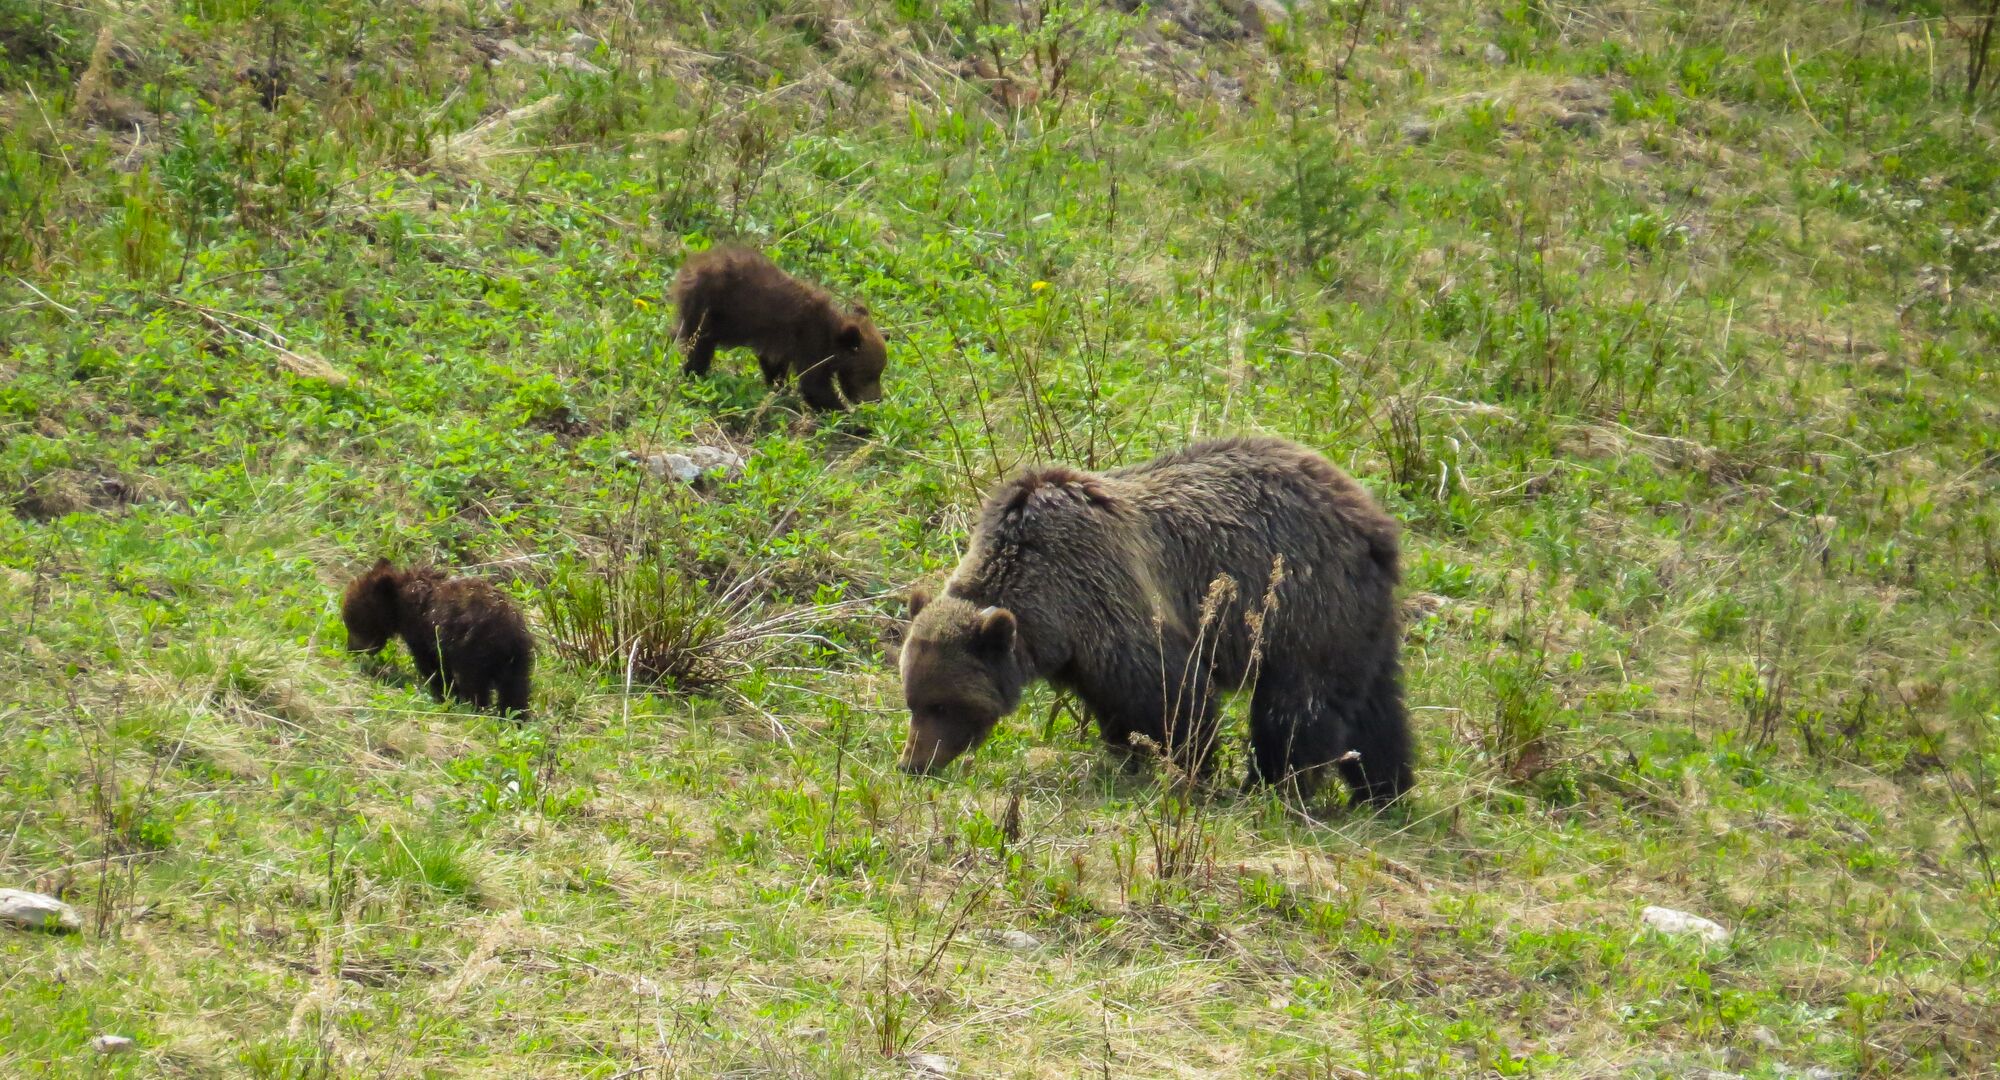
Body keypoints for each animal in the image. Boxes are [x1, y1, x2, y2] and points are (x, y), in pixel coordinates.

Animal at [341, 559, 534, 718]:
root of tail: (507, 632)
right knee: (516, 689)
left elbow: (433, 665)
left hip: (476, 651)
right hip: (518, 659)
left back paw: (474, 706)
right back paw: (515, 717)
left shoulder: (426, 635)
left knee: (475, 683)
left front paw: (445, 694)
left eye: (353, 620)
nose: (351, 649)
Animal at [669, 246, 887, 410]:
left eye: (878, 372)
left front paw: (780, 389)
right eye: (870, 374)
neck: (832, 337)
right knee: (699, 345)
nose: (877, 399)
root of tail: (688, 267)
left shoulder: (780, 342)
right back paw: (694, 373)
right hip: (709, 309)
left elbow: (775, 366)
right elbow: (814, 385)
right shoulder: (810, 340)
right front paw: (853, 421)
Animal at [897, 436, 1412, 805]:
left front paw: (1191, 765)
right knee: (1375, 707)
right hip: (1356, 620)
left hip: (1302, 607)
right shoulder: (1083, 655)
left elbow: (1170, 694)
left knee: (1297, 705)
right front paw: (1129, 757)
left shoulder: (1108, 598)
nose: (912, 764)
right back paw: (1383, 790)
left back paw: (1273, 785)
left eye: (942, 705)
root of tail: (1373, 517)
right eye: (912, 701)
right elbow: (1117, 709)